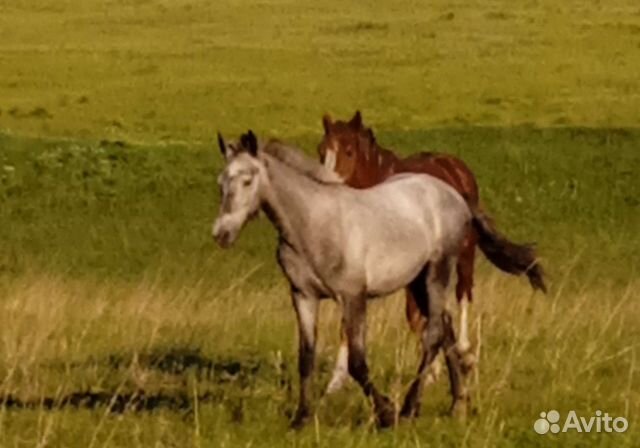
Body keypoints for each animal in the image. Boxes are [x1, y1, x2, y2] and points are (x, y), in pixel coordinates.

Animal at [214, 131, 476, 428]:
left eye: (247, 180)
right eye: (221, 182)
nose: (221, 234)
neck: (313, 224)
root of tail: (453, 194)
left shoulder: (353, 298)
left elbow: (357, 362)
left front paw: (386, 413)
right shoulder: (303, 295)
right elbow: (306, 356)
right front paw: (301, 418)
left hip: (437, 272)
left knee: (433, 335)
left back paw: (409, 408)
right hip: (418, 281)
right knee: (445, 326)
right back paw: (458, 403)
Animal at [318, 111, 544, 392]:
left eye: (349, 151)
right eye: (320, 151)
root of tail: (454, 166)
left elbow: (417, 316)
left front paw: (431, 372)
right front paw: (335, 381)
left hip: (464, 252)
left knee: (463, 293)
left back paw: (465, 353)